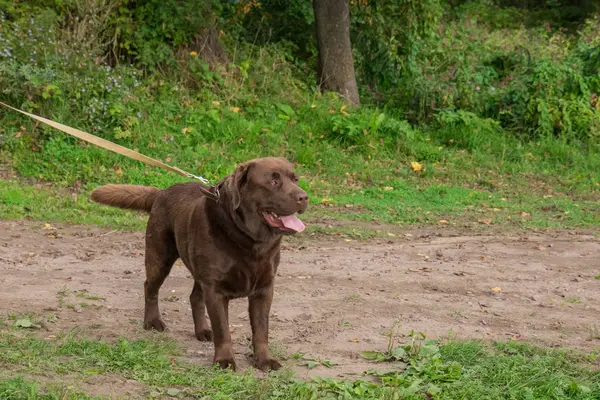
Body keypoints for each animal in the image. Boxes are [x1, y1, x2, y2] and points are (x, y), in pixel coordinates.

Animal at [91, 158, 312, 370]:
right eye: (273, 182)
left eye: (295, 179)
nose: (304, 197)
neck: (248, 238)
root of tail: (162, 192)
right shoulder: (215, 289)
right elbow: (223, 329)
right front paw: (224, 361)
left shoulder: (264, 288)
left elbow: (261, 329)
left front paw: (264, 360)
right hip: (160, 257)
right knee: (150, 287)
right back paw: (153, 322)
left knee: (194, 297)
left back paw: (203, 330)